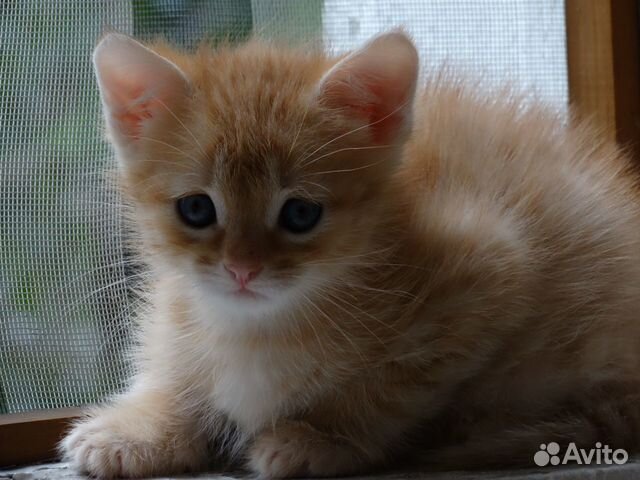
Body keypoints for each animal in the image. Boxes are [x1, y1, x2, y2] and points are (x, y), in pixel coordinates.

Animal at [62, 31, 640, 478]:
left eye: (300, 214)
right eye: (197, 209)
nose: (243, 269)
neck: (255, 328)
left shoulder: (492, 270)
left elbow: (392, 388)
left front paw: (322, 438)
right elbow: (179, 373)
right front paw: (143, 430)